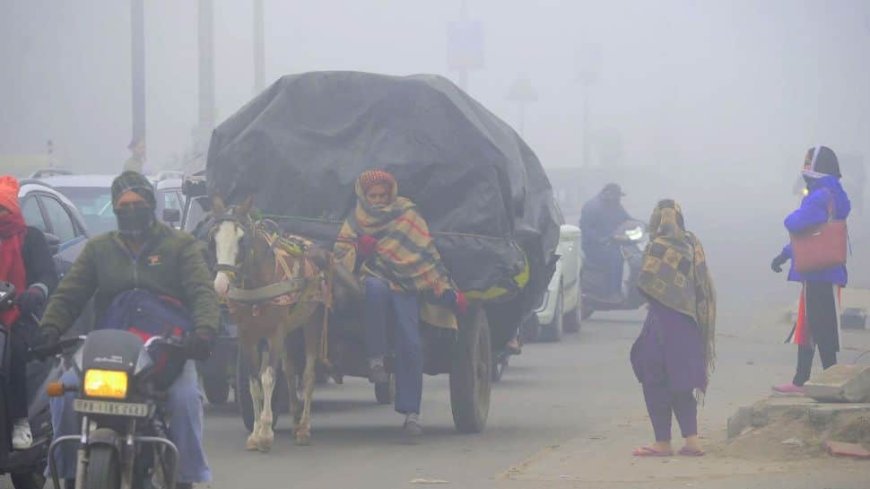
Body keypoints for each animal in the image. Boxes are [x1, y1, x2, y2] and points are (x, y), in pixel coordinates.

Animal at [209, 195, 332, 450]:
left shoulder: (275, 332)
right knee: (290, 372)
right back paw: (294, 420)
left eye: (242, 239)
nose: (221, 285)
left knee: (307, 375)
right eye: (213, 237)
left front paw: (266, 433)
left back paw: (304, 427)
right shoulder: (247, 334)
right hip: (289, 330)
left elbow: (268, 377)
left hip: (312, 322)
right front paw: (256, 433)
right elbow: (254, 380)